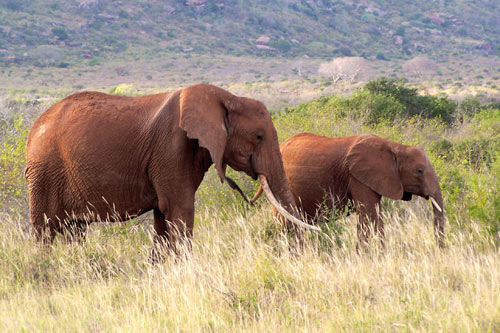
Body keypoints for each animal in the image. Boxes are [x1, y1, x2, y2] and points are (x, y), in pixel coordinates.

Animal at [25, 83, 316, 254]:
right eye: (258, 137)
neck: (227, 97)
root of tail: (33, 128)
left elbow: (163, 216)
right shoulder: (172, 149)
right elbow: (179, 209)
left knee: (74, 229)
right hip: (44, 171)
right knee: (45, 229)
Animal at [250, 132, 446, 246]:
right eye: (419, 171)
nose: (438, 249)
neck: (394, 146)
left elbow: (373, 215)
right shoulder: (357, 177)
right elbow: (369, 215)